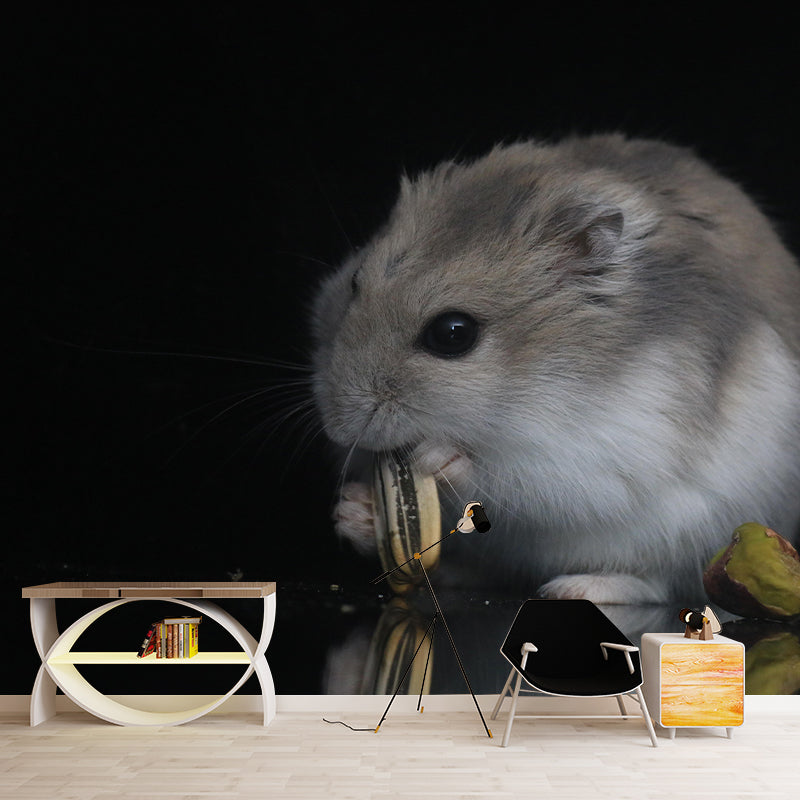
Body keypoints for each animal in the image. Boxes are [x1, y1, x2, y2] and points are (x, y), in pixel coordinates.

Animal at [309, 134, 800, 604]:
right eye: (354, 284)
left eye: (452, 334)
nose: (338, 430)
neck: (530, 377)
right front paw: (351, 510)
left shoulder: (595, 452)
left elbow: (502, 475)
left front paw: (436, 455)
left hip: (687, 535)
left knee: (652, 582)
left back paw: (575, 588)